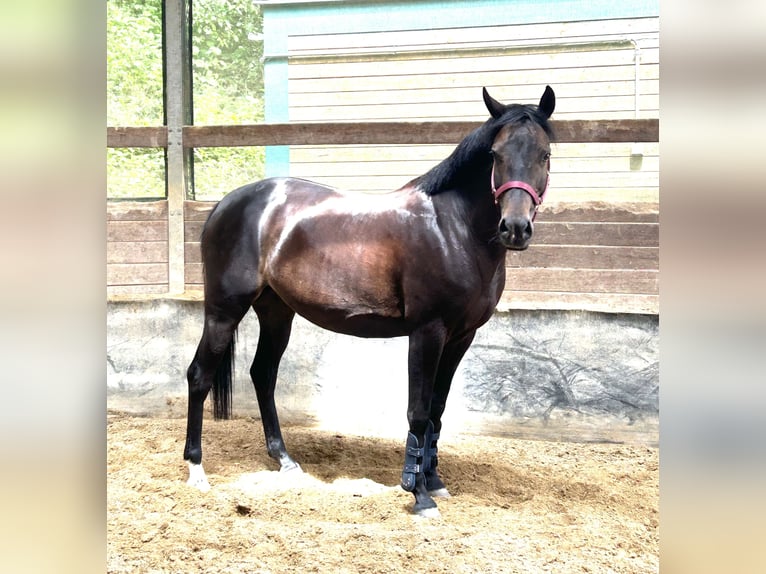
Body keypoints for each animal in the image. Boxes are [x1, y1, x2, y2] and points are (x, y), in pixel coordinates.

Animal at [186, 84, 560, 516]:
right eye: (496, 154)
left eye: (544, 154)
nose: (515, 228)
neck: (451, 229)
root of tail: (226, 204)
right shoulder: (427, 332)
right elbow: (418, 411)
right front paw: (418, 493)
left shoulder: (461, 337)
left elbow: (437, 410)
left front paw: (435, 480)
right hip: (223, 310)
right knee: (199, 375)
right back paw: (196, 470)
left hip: (277, 313)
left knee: (263, 374)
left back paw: (284, 459)